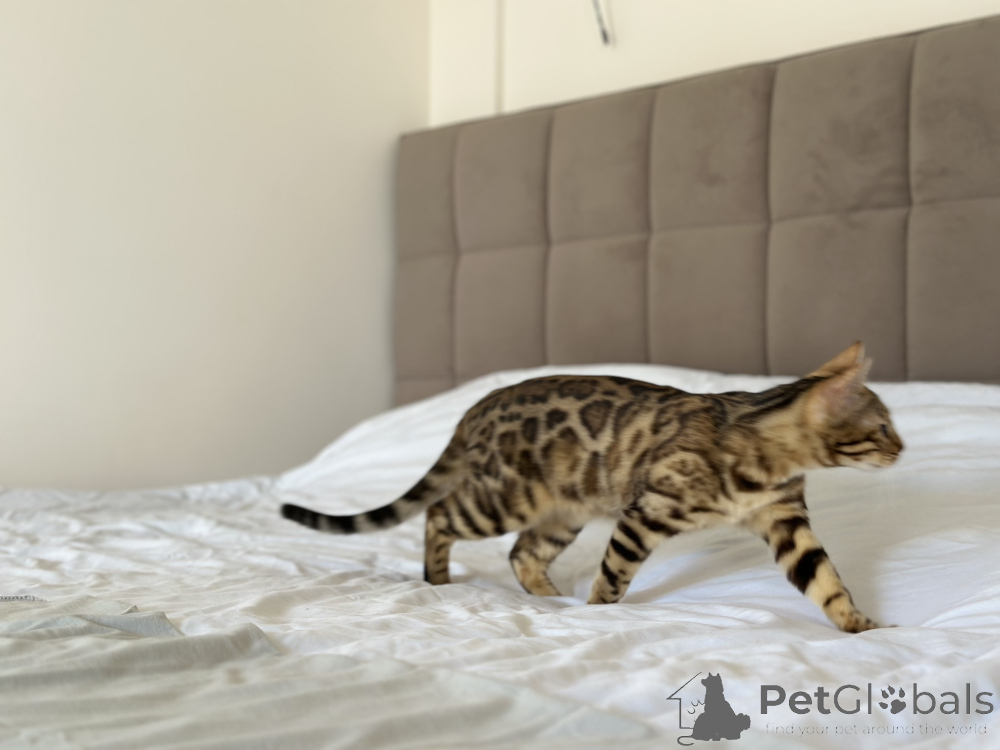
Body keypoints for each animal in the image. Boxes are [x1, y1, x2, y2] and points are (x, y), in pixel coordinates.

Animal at [281, 342, 903, 632]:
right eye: (881, 428)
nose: (902, 448)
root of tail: (475, 407)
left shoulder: (786, 523)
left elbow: (826, 582)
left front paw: (862, 626)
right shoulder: (643, 514)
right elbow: (613, 576)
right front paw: (598, 612)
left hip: (564, 512)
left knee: (521, 553)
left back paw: (547, 595)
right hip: (503, 498)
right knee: (439, 514)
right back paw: (437, 580)